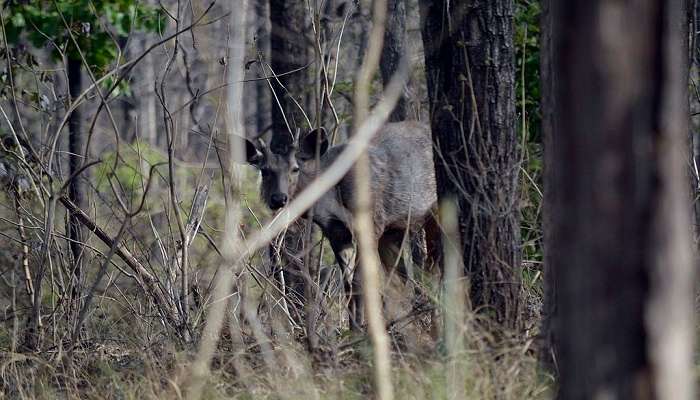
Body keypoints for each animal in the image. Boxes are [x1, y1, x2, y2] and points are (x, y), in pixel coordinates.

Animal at [243, 121, 434, 328]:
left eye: (295, 168)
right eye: (264, 170)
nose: (278, 198)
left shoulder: (372, 223)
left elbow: (359, 281)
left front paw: (359, 329)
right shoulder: (336, 233)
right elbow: (348, 284)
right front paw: (353, 328)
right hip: (394, 231)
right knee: (401, 278)